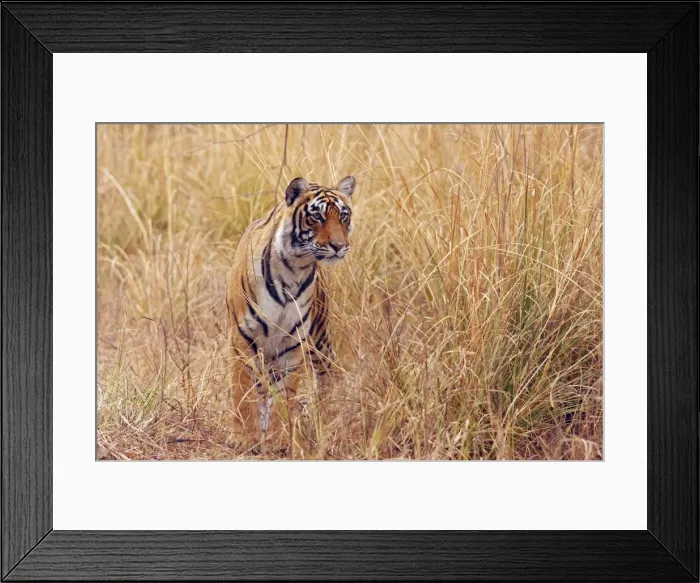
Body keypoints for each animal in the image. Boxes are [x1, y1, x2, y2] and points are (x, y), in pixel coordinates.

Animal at [226, 175, 356, 451]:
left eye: (343, 216)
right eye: (317, 216)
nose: (339, 246)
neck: (294, 269)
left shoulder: (292, 342)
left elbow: (285, 395)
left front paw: (279, 439)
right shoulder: (243, 337)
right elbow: (242, 390)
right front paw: (243, 437)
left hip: (319, 338)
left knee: (328, 375)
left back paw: (323, 419)